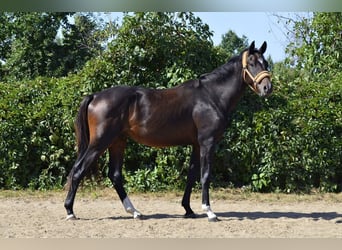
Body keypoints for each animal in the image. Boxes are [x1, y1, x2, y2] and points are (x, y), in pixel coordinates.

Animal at [64, 41, 272, 223]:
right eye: (252, 62)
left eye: (266, 63)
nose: (267, 87)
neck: (211, 96)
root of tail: (95, 96)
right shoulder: (207, 142)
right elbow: (205, 175)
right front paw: (209, 212)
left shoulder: (196, 144)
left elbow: (191, 175)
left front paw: (188, 209)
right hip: (100, 142)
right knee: (79, 170)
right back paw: (70, 211)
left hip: (117, 142)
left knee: (114, 175)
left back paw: (135, 212)